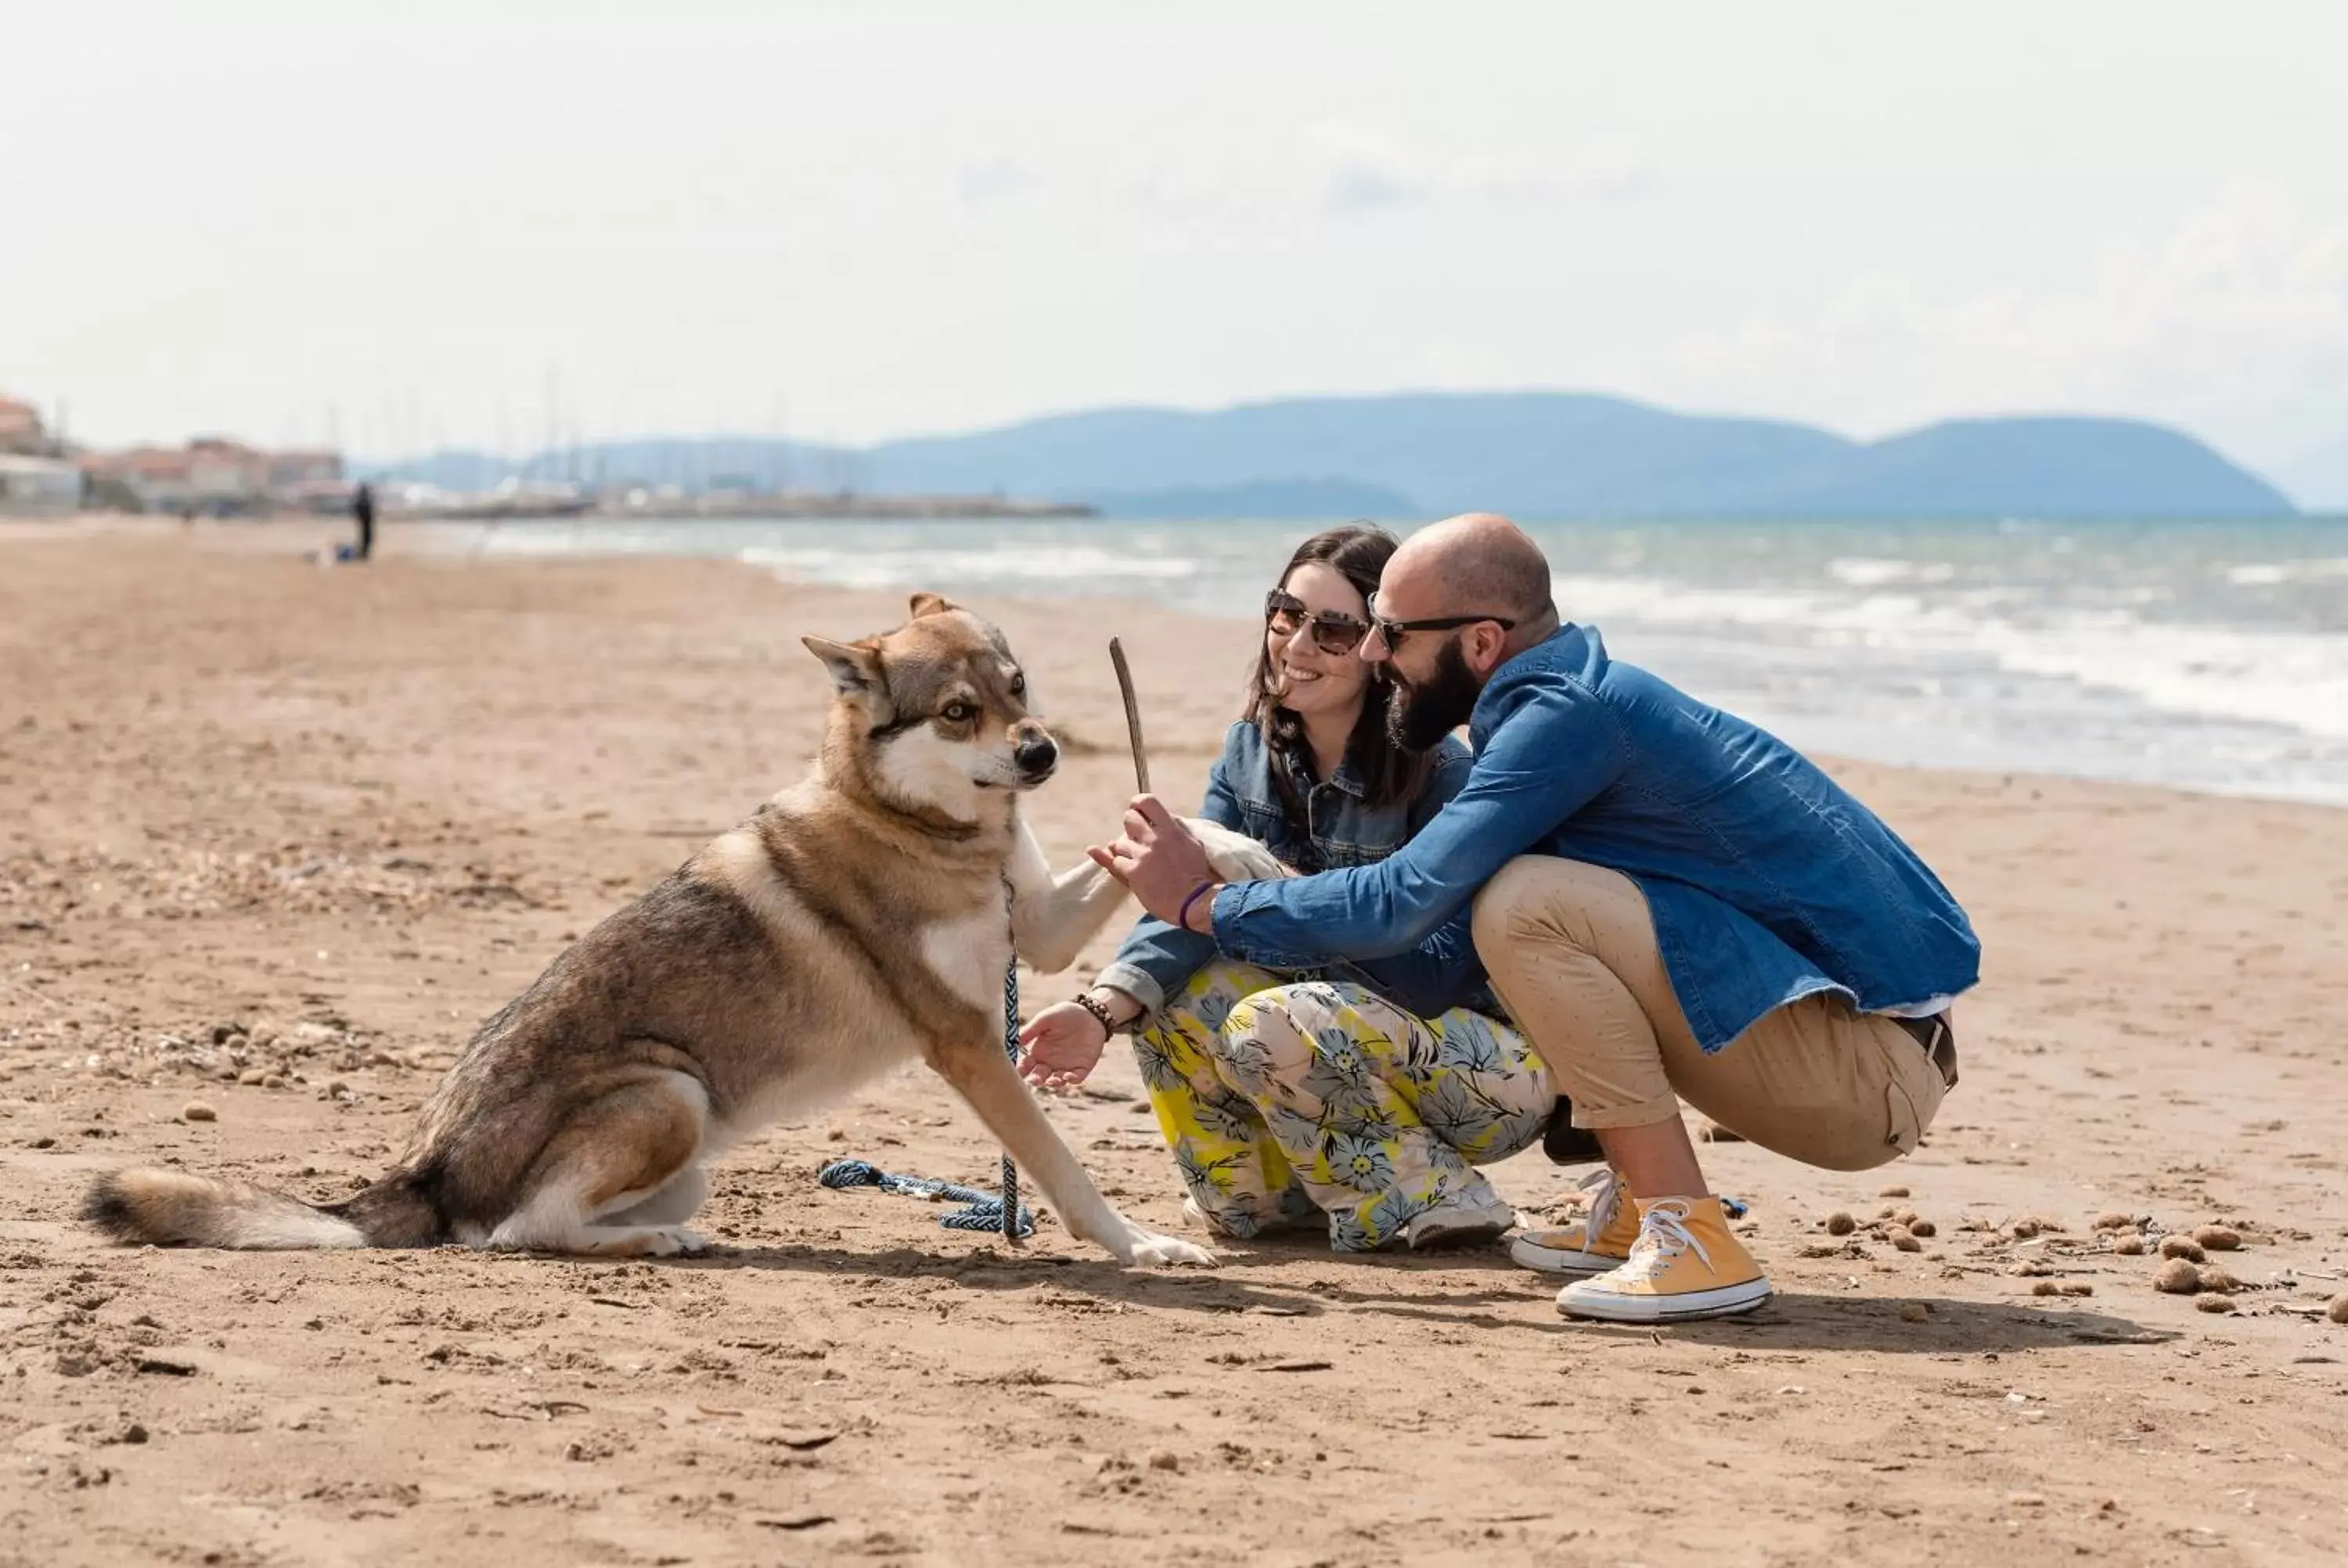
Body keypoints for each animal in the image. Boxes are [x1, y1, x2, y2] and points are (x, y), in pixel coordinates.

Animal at [80, 594, 1221, 1268]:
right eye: (955, 711)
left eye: (1016, 688)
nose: (1040, 755)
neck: (928, 831)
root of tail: (423, 1170)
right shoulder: (969, 1043)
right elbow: (1065, 1170)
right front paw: (1142, 1248)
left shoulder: (1042, 933)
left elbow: (1155, 839)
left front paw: (1220, 851)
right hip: (670, 1091)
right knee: (515, 1234)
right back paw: (661, 1244)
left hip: (692, 1141)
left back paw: (675, 1232)